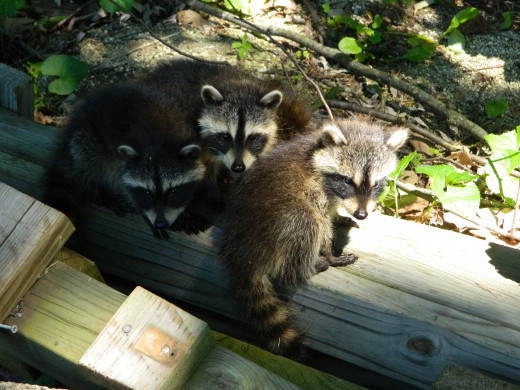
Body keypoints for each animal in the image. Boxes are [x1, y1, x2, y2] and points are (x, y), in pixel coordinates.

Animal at [46, 82, 205, 238]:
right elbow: (123, 184)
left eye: (173, 190)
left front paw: (184, 211)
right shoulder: (119, 157)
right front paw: (142, 210)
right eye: (146, 192)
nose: (160, 223)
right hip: (84, 141)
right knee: (88, 166)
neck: (159, 141)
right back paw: (102, 195)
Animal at [218, 119, 406, 360]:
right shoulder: (315, 190)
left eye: (375, 184)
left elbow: (333, 213)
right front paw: (329, 251)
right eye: (347, 181)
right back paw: (309, 266)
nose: (361, 214)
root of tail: (243, 255)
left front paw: (341, 217)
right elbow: (322, 222)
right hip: (276, 225)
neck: (316, 154)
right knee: (305, 221)